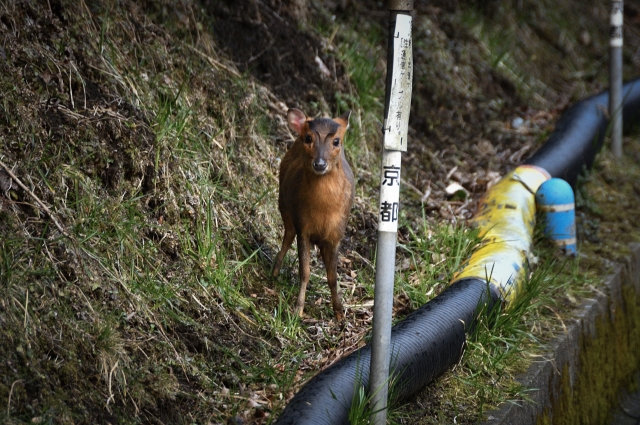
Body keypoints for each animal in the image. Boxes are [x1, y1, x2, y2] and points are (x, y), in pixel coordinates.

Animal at [272, 107, 356, 320]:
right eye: (309, 138)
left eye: (336, 141)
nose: (319, 164)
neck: (324, 211)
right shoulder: (304, 228)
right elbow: (305, 272)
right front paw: (297, 309)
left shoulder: (336, 235)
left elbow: (333, 276)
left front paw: (339, 313)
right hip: (284, 205)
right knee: (287, 236)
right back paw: (275, 271)